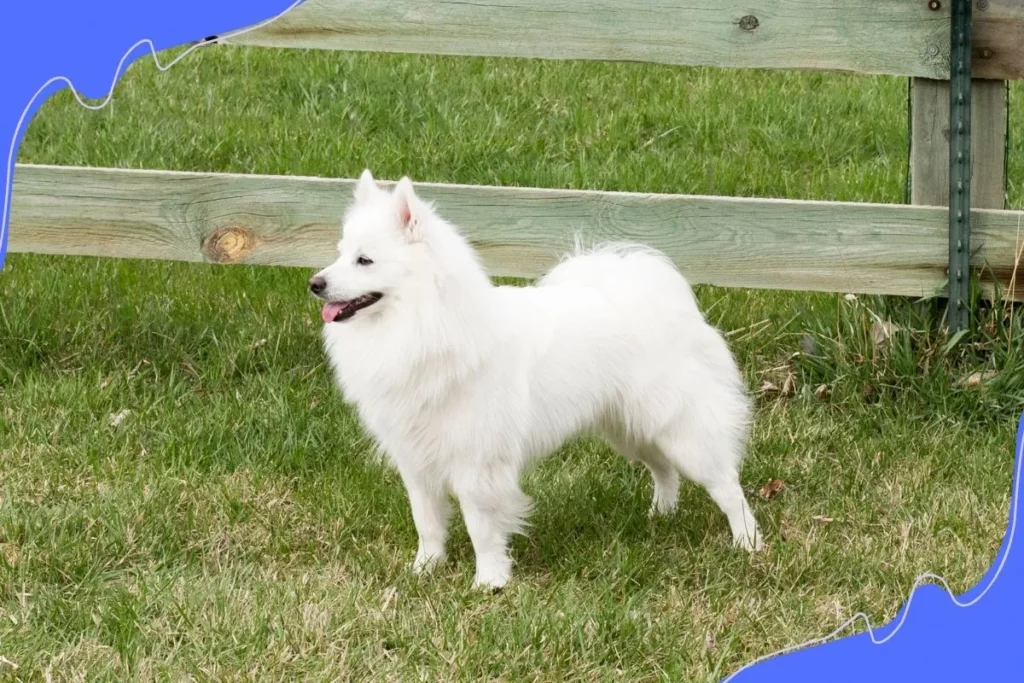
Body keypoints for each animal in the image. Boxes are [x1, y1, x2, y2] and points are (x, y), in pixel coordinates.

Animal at [311, 169, 761, 589]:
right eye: (339, 254)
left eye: (364, 260)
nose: (315, 282)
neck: (425, 327)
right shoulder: (417, 461)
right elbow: (428, 523)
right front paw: (424, 570)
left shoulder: (477, 464)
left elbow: (481, 528)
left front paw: (489, 581)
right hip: (630, 427)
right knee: (664, 469)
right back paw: (661, 514)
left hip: (679, 428)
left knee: (726, 485)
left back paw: (748, 543)